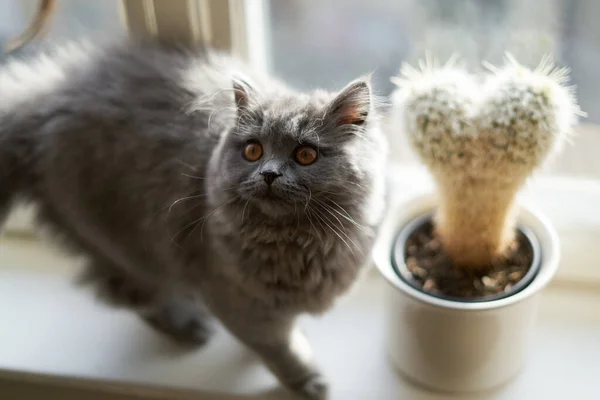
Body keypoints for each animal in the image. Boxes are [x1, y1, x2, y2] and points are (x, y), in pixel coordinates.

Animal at [0, 38, 384, 400]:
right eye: (253, 151)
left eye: (305, 154)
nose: (269, 174)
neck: (297, 245)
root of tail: (44, 100)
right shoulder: (235, 299)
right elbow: (280, 348)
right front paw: (307, 381)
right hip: (126, 245)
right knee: (144, 300)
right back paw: (190, 329)